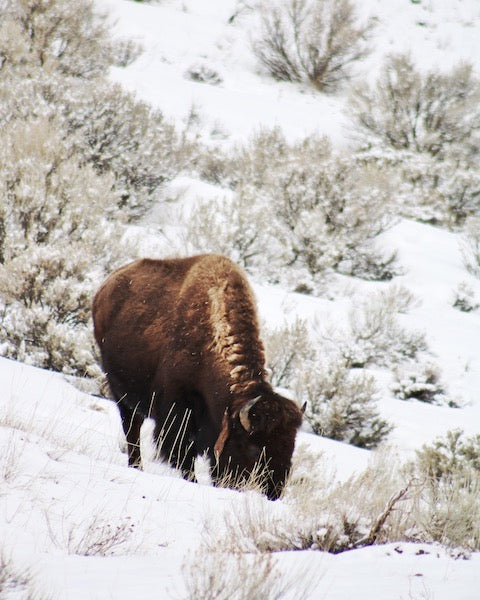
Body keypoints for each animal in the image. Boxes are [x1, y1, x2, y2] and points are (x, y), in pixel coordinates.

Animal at [93, 255, 304, 500]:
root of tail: (105, 287)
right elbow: (183, 453)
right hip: (122, 394)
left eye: (290, 447)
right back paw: (136, 466)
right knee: (132, 428)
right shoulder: (178, 413)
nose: (273, 492)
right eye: (252, 448)